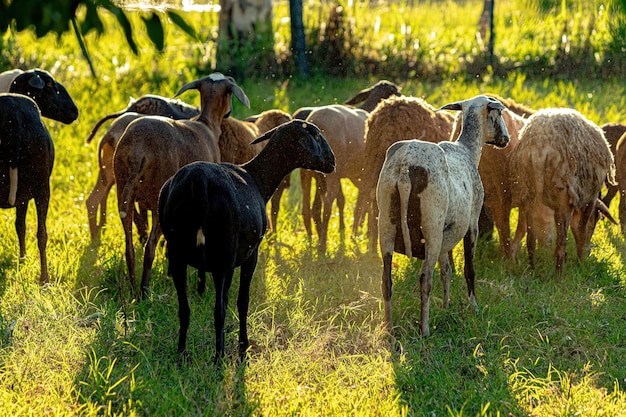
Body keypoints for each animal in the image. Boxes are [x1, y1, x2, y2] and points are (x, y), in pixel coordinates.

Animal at [112, 72, 249, 300]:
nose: (229, 113)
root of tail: (138, 151)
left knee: (129, 248)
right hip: (158, 197)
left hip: (123, 191)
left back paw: (134, 289)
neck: (207, 124)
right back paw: (145, 292)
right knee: (149, 247)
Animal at [160, 119, 336, 360]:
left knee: (184, 308)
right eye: (316, 135)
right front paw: (243, 345)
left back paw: (181, 354)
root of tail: (199, 181)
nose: (333, 161)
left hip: (177, 252)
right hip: (221, 255)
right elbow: (243, 301)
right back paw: (219, 357)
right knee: (219, 309)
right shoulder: (250, 255)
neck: (259, 178)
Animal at [376, 96, 508, 336]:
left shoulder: (448, 235)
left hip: (388, 226)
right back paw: (425, 329)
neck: (467, 149)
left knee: (386, 281)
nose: (506, 139)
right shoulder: (472, 223)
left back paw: (389, 329)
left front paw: (447, 307)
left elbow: (446, 271)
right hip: (432, 227)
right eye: (499, 113)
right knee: (425, 279)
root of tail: (405, 169)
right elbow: (468, 269)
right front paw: (474, 307)